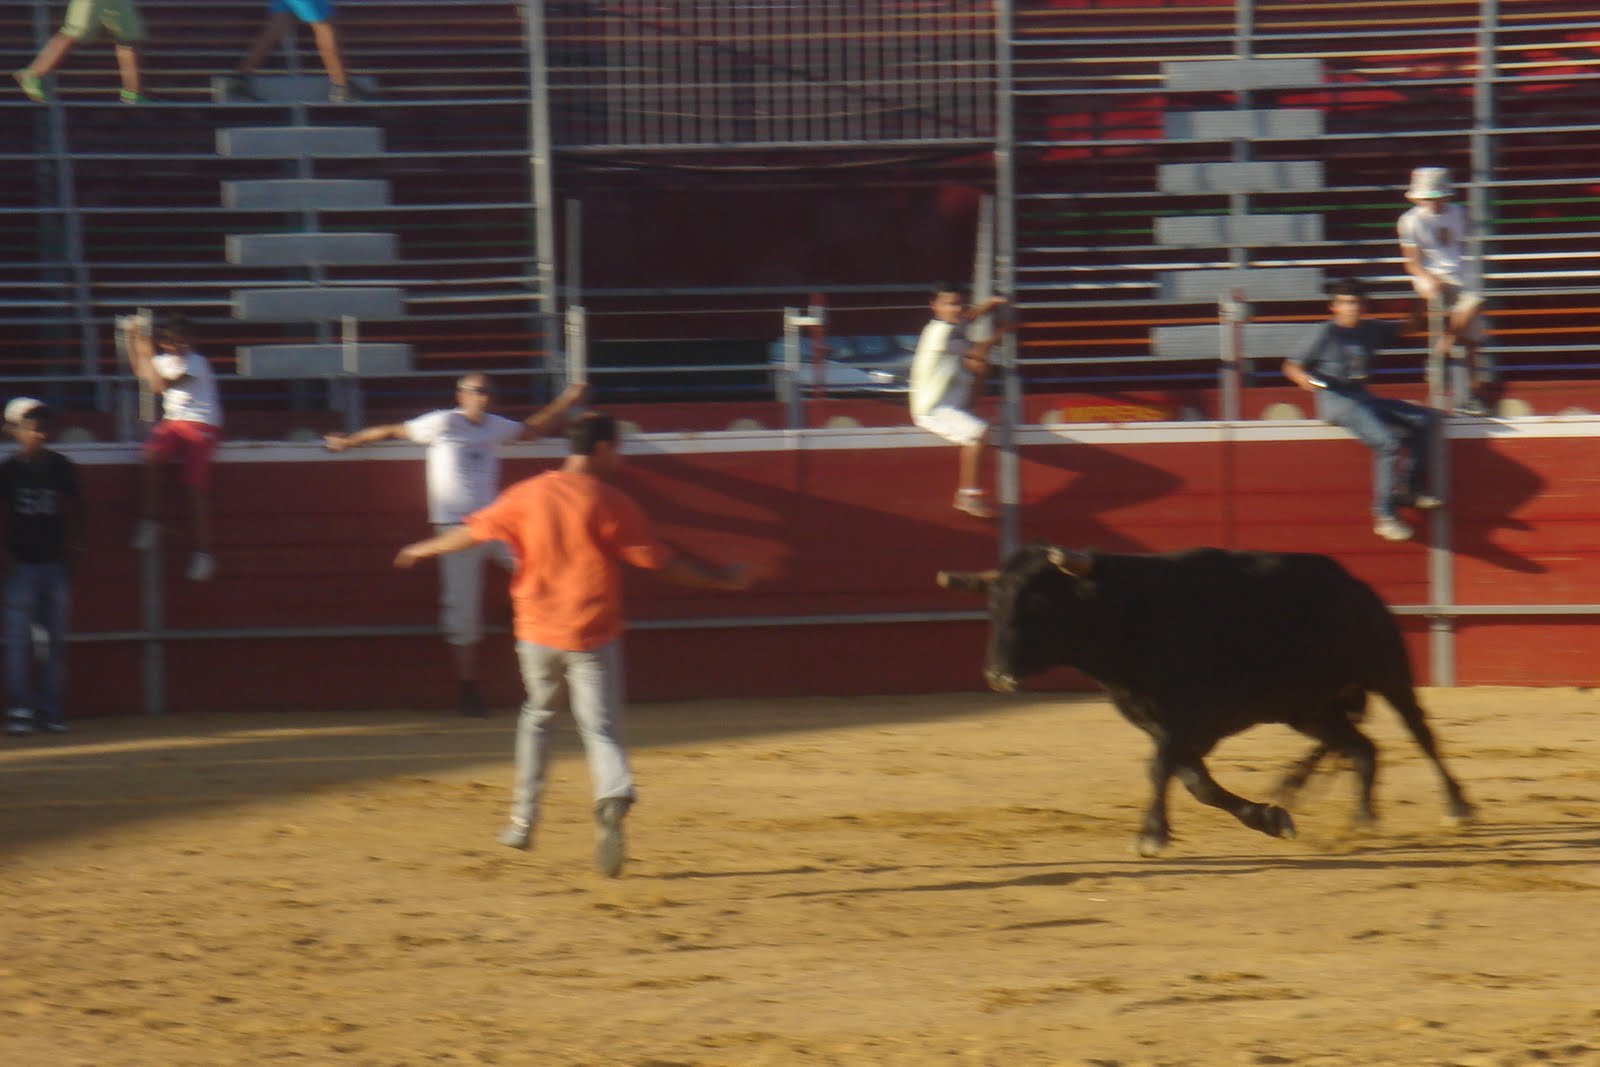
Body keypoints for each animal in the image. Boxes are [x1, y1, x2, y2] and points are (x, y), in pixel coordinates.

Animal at [938, 544, 1474, 856]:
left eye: (1038, 603)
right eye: (993, 604)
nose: (998, 675)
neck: (1128, 613)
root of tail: (1355, 584)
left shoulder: (1190, 717)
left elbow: (1162, 769)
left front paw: (1151, 835)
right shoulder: (1161, 723)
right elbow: (1197, 783)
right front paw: (1271, 818)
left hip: (1386, 671)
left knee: (1420, 732)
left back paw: (1457, 807)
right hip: (1309, 709)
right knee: (1363, 748)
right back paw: (1361, 820)